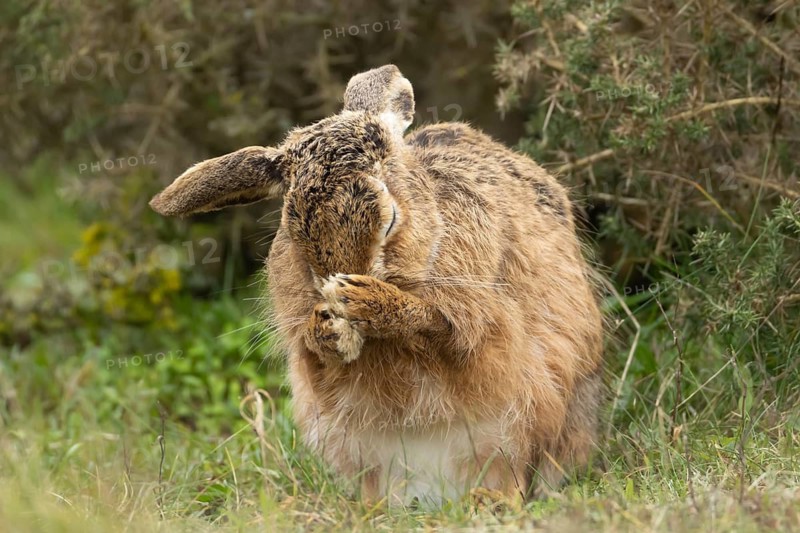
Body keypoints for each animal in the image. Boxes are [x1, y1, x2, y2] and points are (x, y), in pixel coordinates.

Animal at [149, 64, 604, 506]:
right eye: (295, 231)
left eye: (389, 221)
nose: (340, 280)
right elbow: (315, 354)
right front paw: (329, 328)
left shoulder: (482, 318)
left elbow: (448, 330)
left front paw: (366, 301)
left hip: (530, 421)